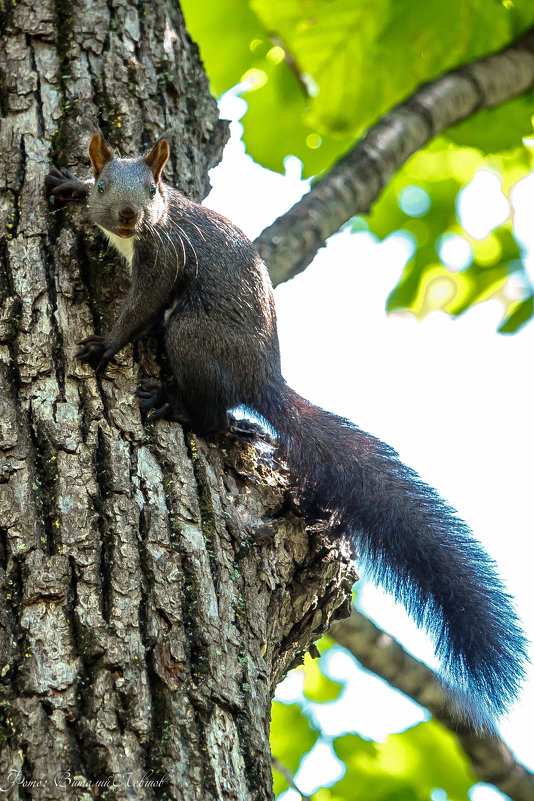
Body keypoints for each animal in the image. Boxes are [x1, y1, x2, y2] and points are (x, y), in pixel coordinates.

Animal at [45, 133, 528, 732]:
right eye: (105, 183)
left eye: (154, 189)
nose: (130, 216)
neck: (146, 231)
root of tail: (264, 380)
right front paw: (67, 183)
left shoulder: (165, 258)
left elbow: (141, 308)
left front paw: (105, 345)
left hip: (191, 333)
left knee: (211, 410)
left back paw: (179, 408)